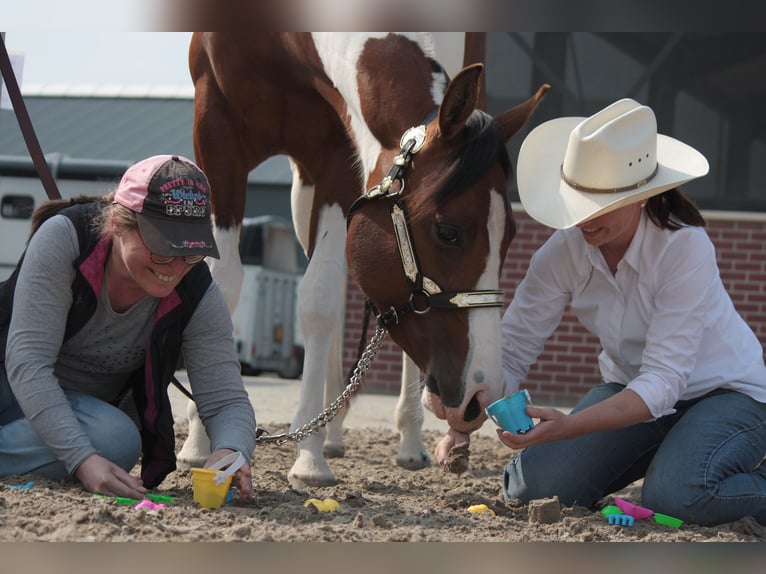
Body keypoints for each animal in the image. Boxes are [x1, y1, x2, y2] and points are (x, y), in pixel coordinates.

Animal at [178, 32, 552, 490]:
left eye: (510, 237)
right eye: (448, 231)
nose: (480, 393)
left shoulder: (337, 151)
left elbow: (318, 299)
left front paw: (309, 456)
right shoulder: (217, 127)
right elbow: (225, 283)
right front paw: (200, 439)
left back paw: (404, 439)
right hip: (301, 188)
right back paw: (334, 431)